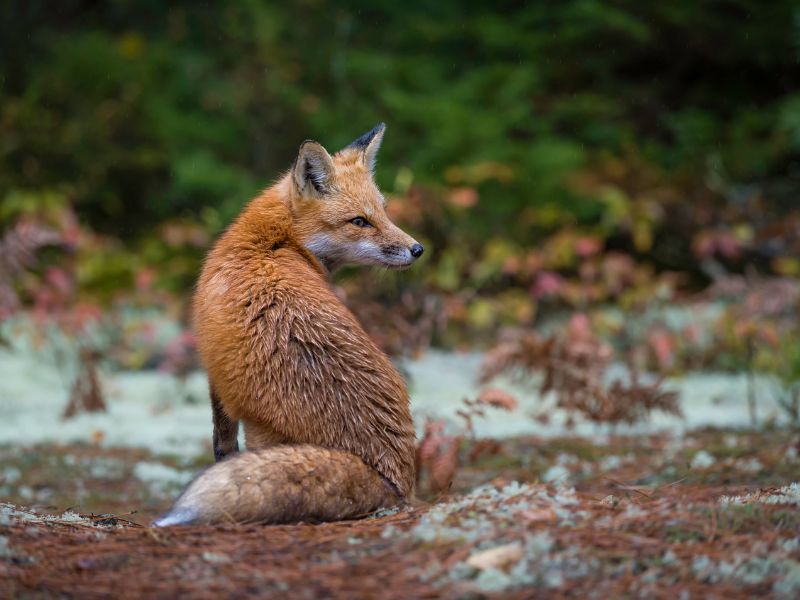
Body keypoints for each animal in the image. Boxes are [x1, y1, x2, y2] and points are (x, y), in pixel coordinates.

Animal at [152, 123, 424, 524]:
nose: (418, 249)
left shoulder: (215, 373)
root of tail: (392, 479)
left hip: (260, 433)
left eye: (383, 213)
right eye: (360, 221)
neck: (276, 242)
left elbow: (222, 444)